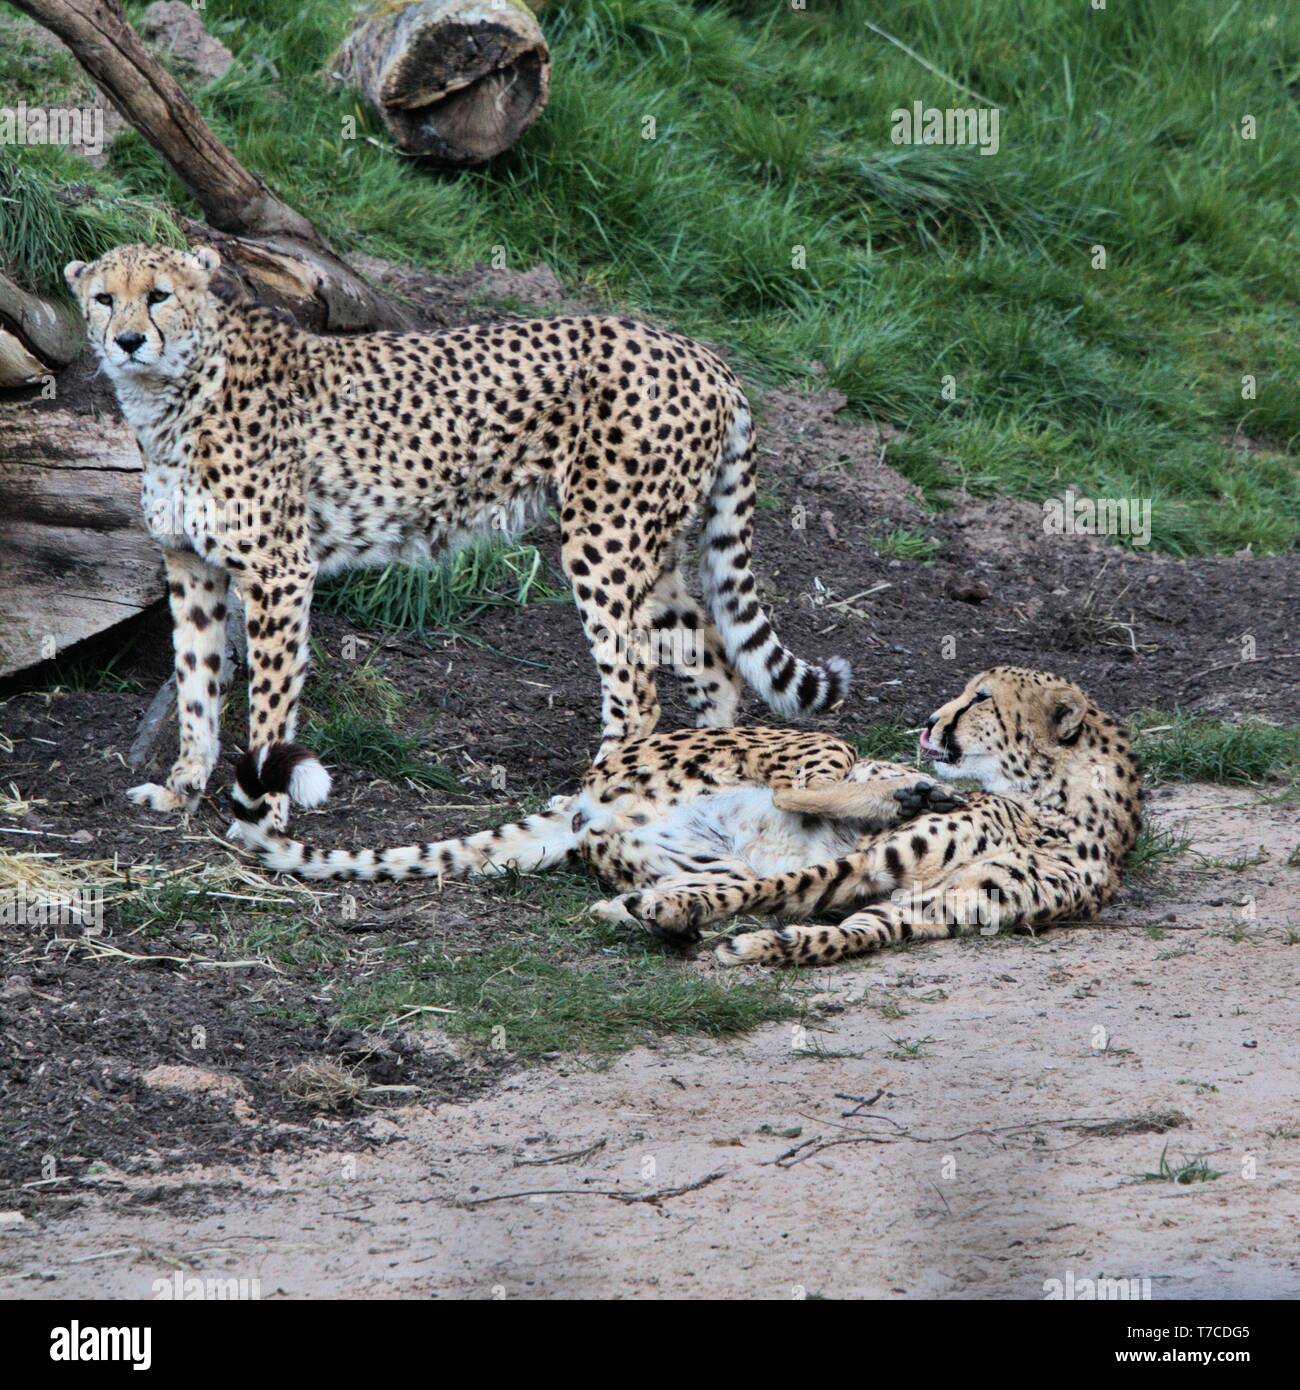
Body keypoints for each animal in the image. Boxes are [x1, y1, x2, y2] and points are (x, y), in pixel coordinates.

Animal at [66, 242, 848, 828]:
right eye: (104, 298)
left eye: (159, 294)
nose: (128, 340)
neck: (173, 394)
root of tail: (700, 351)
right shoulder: (191, 566)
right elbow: (196, 686)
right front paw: (181, 789)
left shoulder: (279, 572)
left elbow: (268, 700)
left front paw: (264, 804)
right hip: (652, 557)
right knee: (712, 663)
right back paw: (693, 780)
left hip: (605, 542)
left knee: (636, 689)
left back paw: (596, 793)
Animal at [227, 666, 1143, 966]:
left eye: (981, 698)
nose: (927, 724)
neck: (1063, 806)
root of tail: (581, 792)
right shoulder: (878, 858)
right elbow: (807, 878)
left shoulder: (939, 905)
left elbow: (847, 929)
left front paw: (768, 948)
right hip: (805, 743)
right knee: (799, 789)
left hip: (672, 842)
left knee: (667, 871)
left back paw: (642, 907)